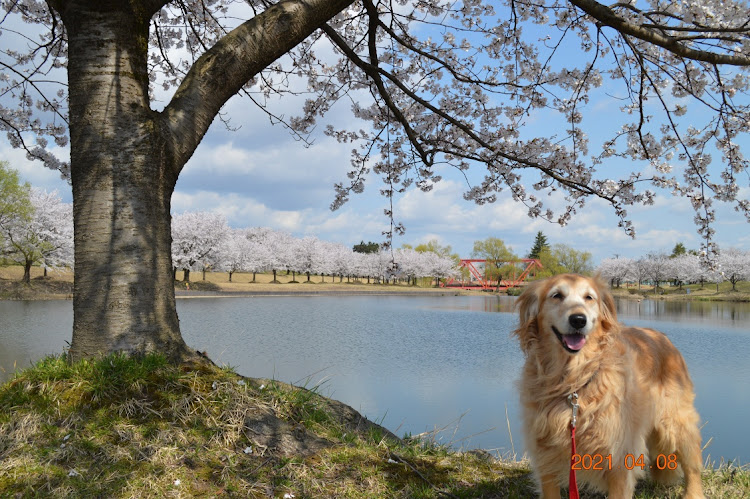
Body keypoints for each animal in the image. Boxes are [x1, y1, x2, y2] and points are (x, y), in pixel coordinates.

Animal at [516, 276, 708, 498]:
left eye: (589, 297)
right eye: (557, 295)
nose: (578, 320)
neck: (573, 381)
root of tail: (664, 337)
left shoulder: (619, 455)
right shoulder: (545, 454)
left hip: (676, 421)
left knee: (692, 465)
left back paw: (693, 493)